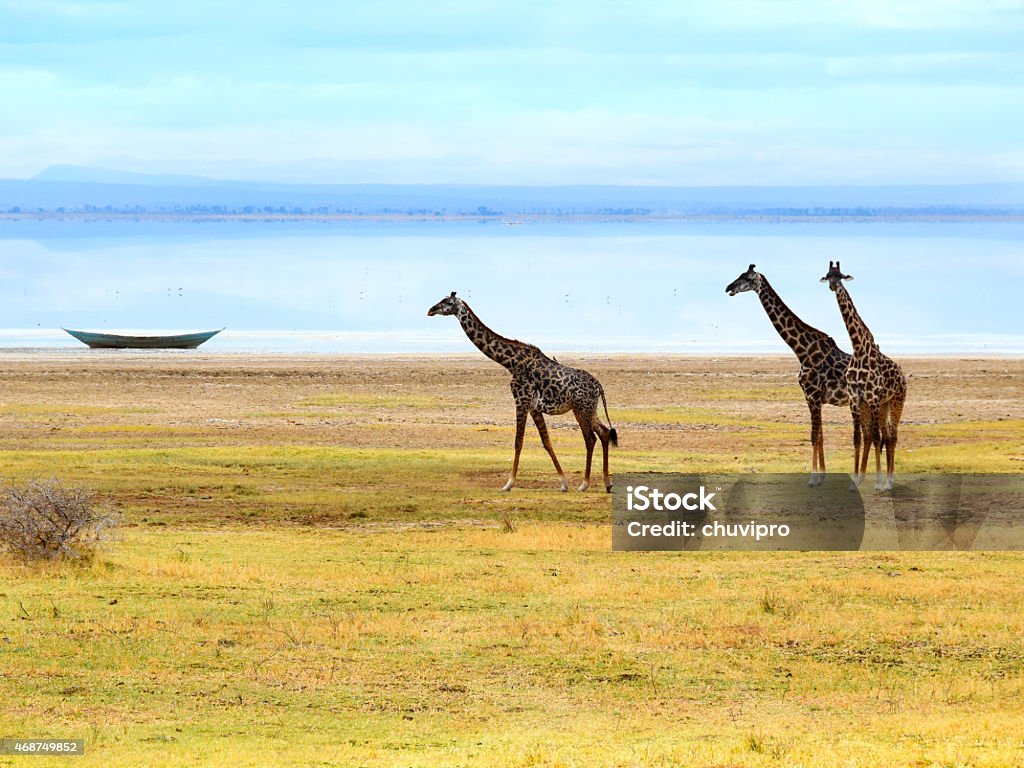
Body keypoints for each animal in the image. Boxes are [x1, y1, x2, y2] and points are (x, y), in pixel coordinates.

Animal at [423, 290, 614, 495]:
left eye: (448, 302)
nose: (430, 310)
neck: (510, 362)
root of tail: (599, 386)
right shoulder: (534, 407)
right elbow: (546, 442)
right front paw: (563, 483)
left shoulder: (521, 400)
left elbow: (518, 442)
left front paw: (508, 484)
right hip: (589, 409)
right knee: (604, 433)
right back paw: (607, 483)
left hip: (581, 409)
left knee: (590, 438)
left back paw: (585, 484)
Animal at [724, 264, 860, 487]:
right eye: (739, 274)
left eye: (748, 278)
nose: (729, 288)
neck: (802, 350)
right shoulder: (810, 398)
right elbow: (819, 435)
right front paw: (821, 475)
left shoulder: (813, 396)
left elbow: (814, 436)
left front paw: (814, 478)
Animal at [819, 264, 909, 493]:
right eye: (828, 276)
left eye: (841, 276)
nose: (833, 286)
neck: (858, 348)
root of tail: (903, 376)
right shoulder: (856, 399)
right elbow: (858, 438)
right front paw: (856, 480)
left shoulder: (873, 397)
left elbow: (876, 438)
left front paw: (878, 481)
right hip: (882, 404)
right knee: (885, 435)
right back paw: (886, 479)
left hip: (896, 401)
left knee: (892, 436)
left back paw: (889, 482)